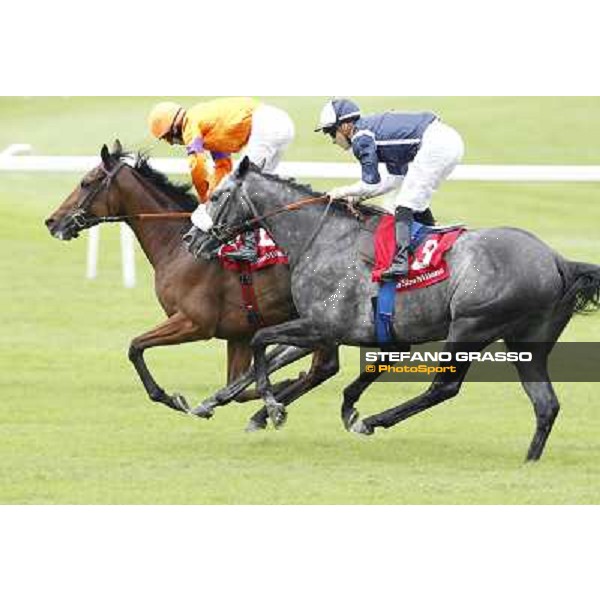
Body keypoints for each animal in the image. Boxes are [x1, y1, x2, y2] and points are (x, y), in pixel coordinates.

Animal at [45, 142, 340, 432]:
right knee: (322, 367)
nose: (51, 221)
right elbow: (239, 381)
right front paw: (266, 391)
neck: (177, 245)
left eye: (86, 182)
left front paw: (170, 397)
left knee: (323, 366)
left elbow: (135, 346)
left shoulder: (195, 322)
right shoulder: (240, 332)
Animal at [207, 157, 600, 462]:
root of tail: (558, 260)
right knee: (546, 403)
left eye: (215, 195)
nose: (196, 237)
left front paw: (274, 409)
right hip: (526, 344)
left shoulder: (323, 325)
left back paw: (375, 420)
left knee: (445, 387)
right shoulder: (378, 335)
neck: (323, 239)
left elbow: (261, 340)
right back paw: (529, 462)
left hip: (470, 327)